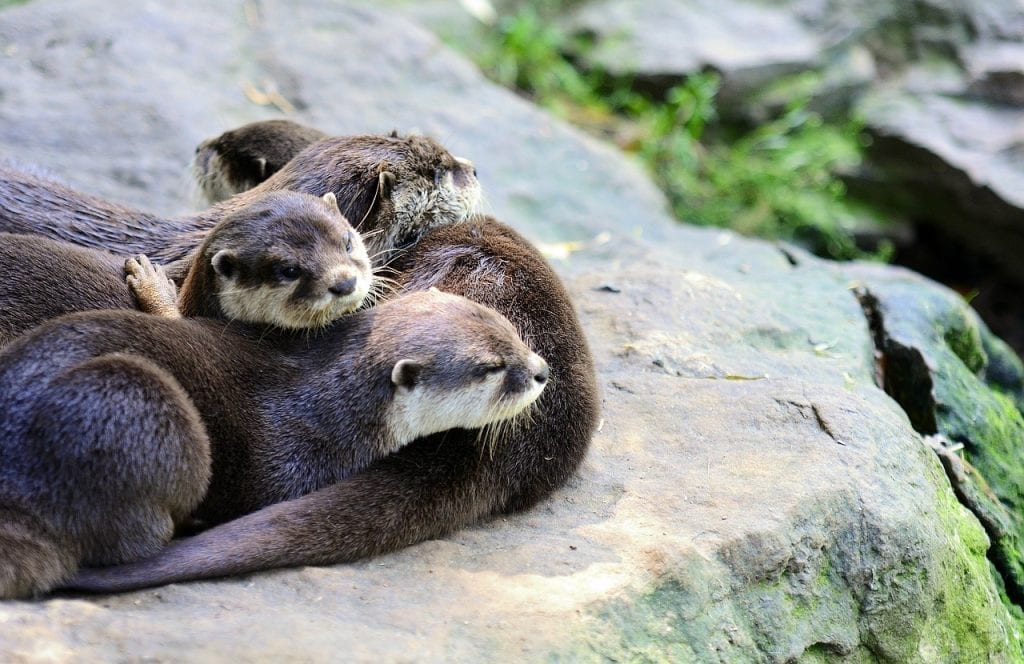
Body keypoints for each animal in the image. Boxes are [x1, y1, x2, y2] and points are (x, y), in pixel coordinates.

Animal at [0, 287, 548, 599]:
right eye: (491, 367)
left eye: (510, 329)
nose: (542, 370)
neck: (328, 404)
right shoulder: (293, 460)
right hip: (134, 403)